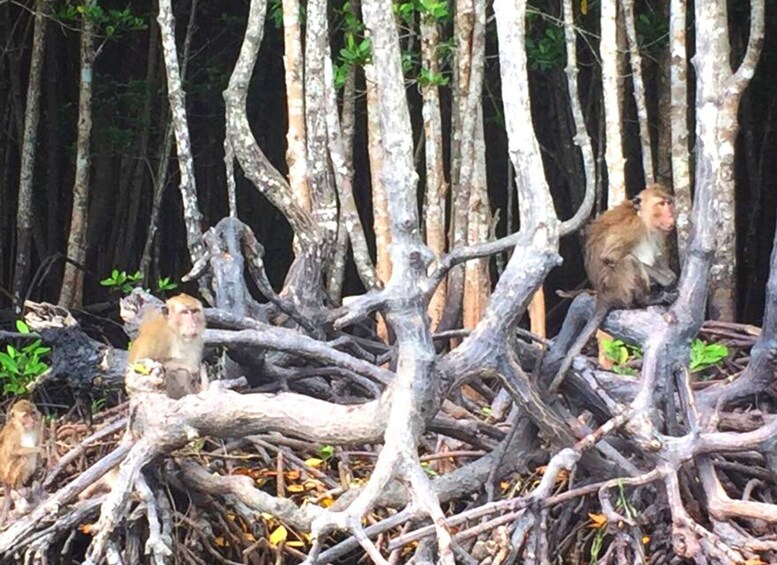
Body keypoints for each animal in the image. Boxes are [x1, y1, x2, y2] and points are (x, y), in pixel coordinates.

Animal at [544, 184, 680, 392]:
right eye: (661, 204)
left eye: (669, 203)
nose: (671, 214)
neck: (643, 218)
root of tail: (602, 296)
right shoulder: (633, 227)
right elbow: (611, 257)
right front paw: (668, 280)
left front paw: (669, 277)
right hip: (617, 287)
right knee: (628, 261)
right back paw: (647, 299)